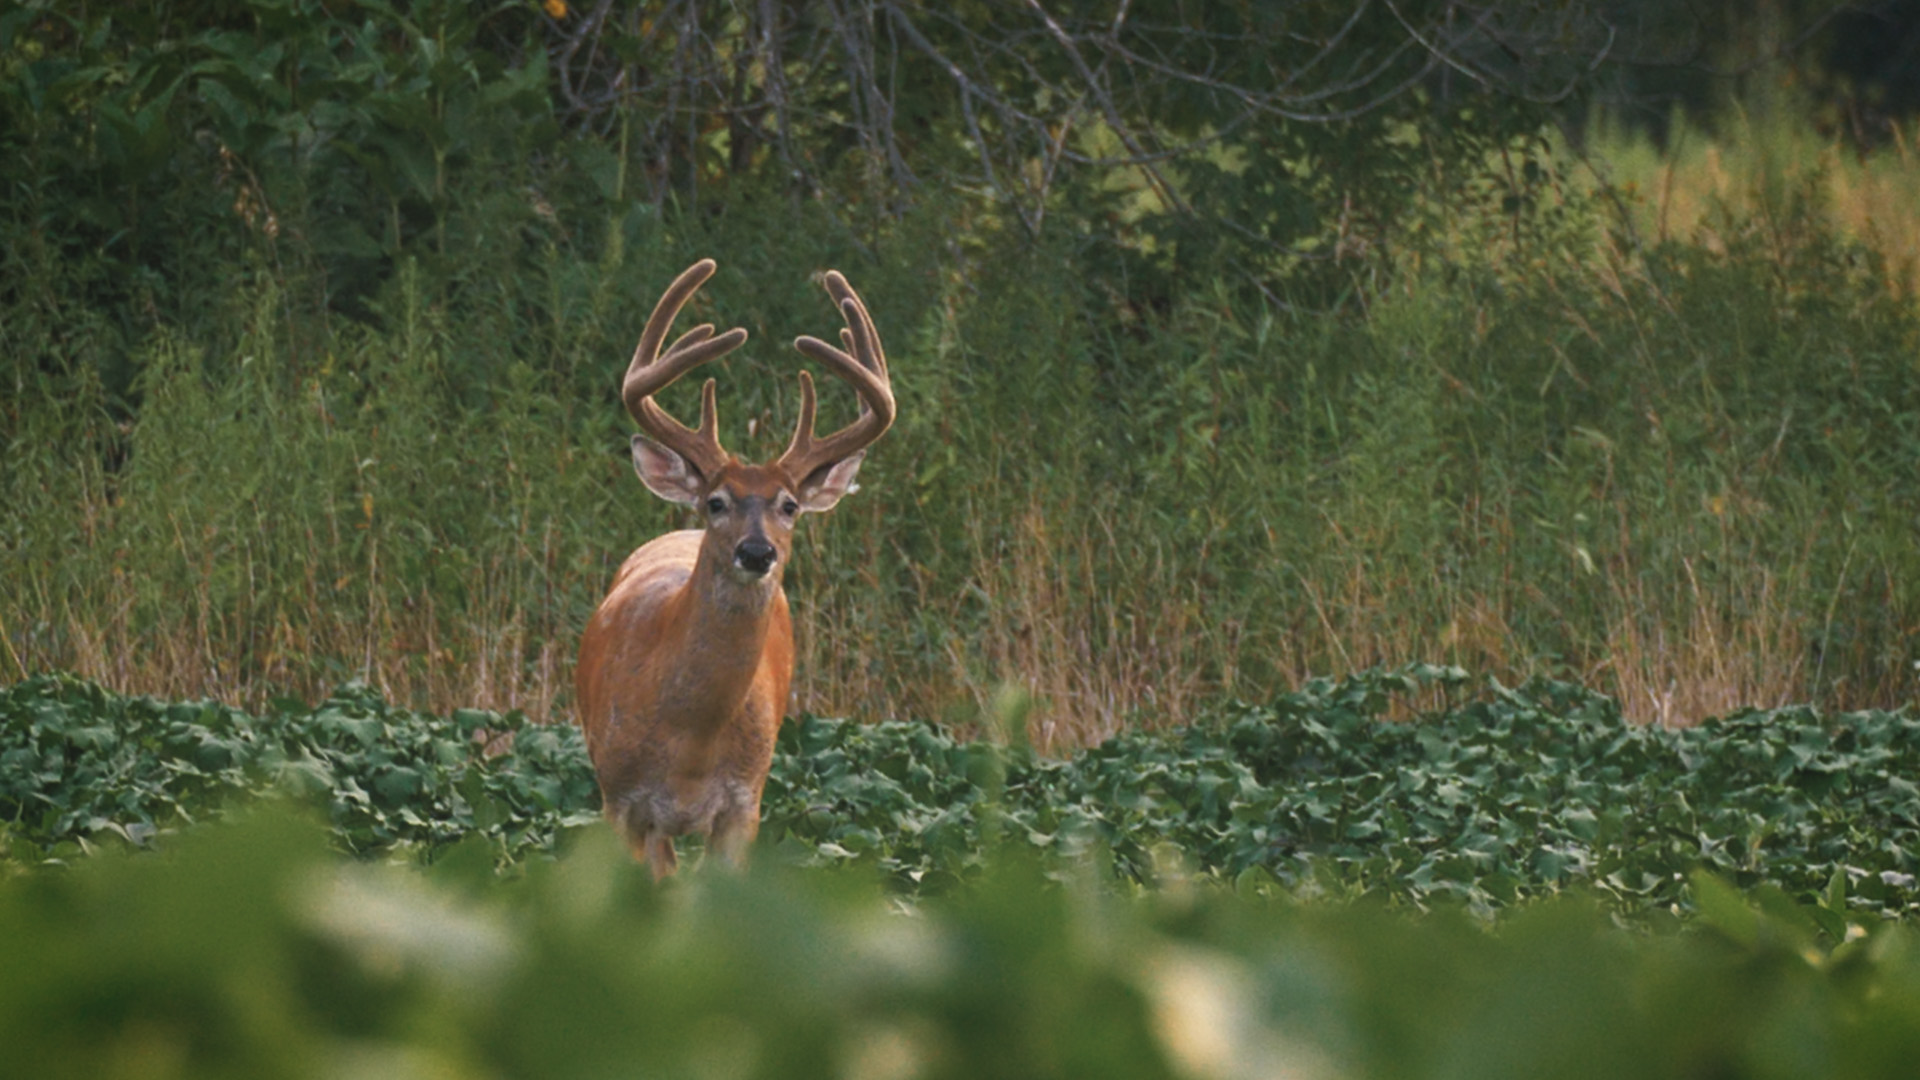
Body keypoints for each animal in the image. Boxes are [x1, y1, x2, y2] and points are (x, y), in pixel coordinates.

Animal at [574, 258, 894, 879]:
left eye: (789, 506)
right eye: (716, 502)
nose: (756, 552)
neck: (689, 742)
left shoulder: (744, 804)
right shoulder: (619, 800)